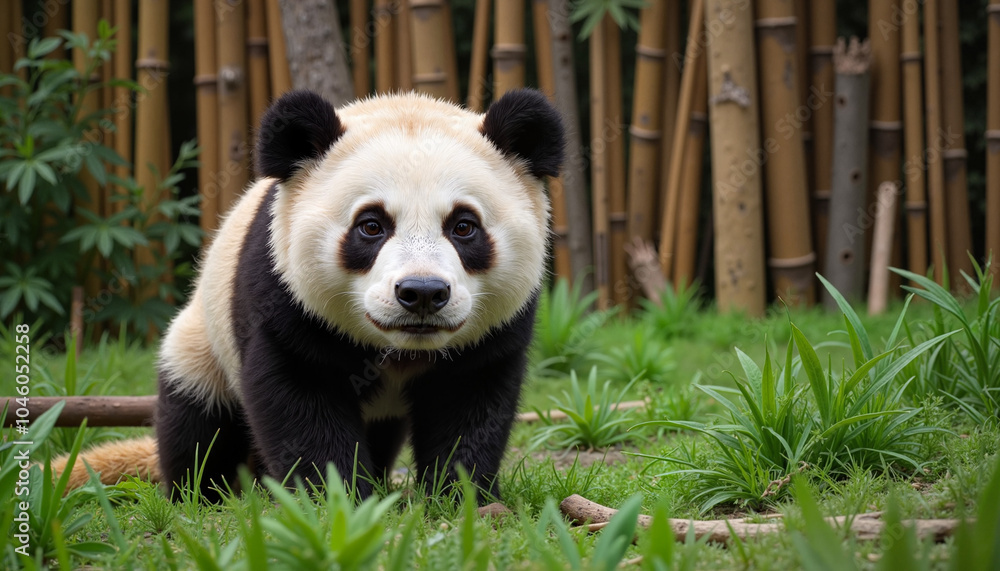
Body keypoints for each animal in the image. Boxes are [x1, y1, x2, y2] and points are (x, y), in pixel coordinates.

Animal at [54, 88, 565, 503]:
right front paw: (338, 498)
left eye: (463, 227)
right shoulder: (283, 295)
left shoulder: (493, 328)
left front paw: (459, 495)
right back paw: (202, 493)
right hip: (203, 343)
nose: (421, 293)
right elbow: (300, 396)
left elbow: (468, 399)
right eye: (371, 226)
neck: (399, 349)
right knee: (196, 420)